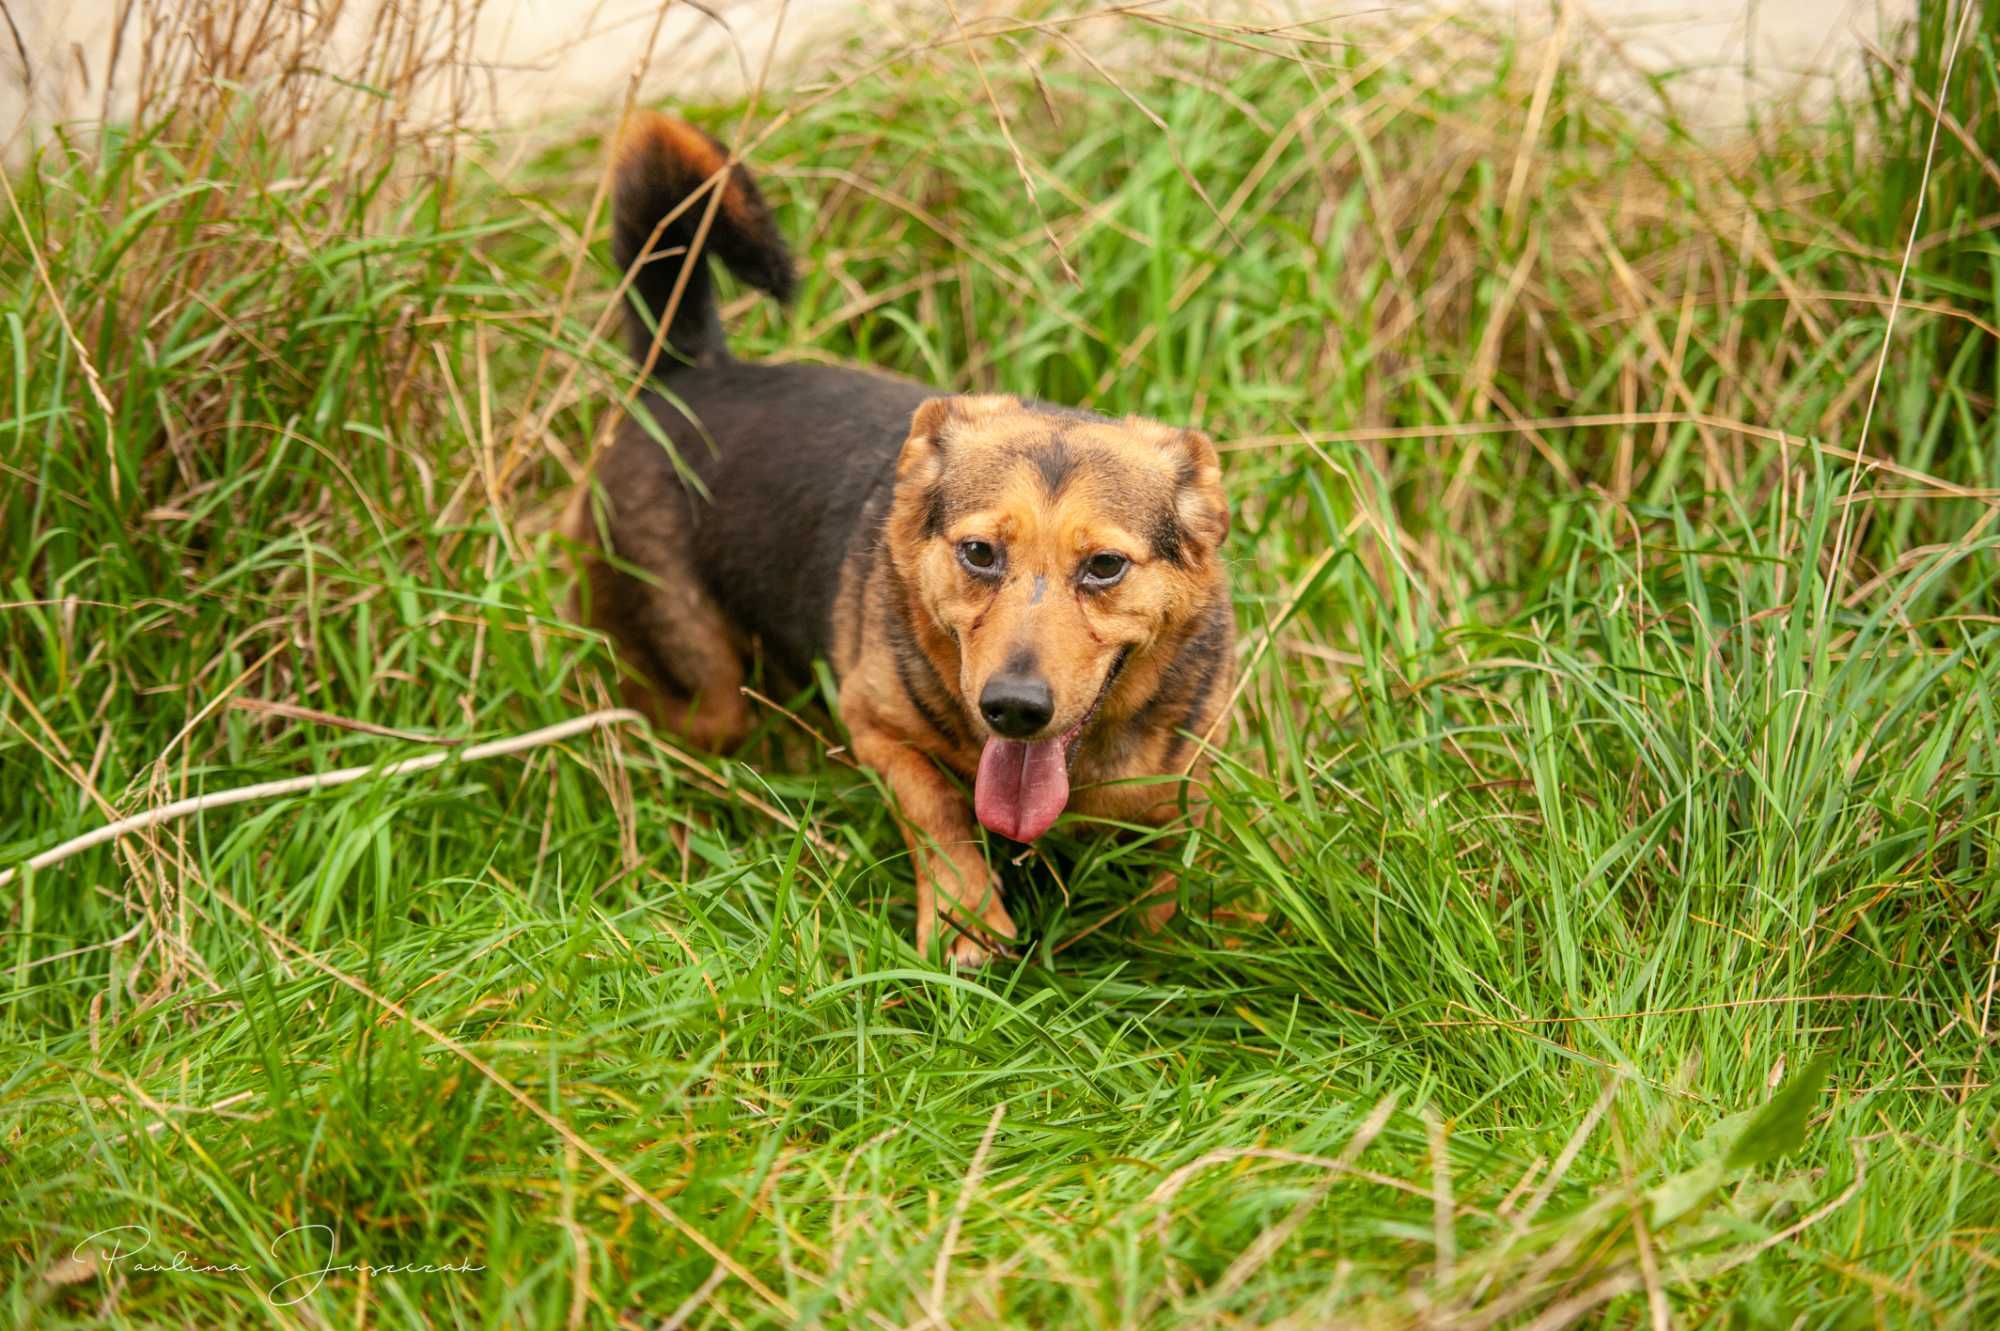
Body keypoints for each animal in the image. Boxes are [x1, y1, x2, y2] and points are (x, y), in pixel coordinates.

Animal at [560, 113, 1232, 959]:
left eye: (1106, 566)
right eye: (979, 553)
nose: (1013, 708)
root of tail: (685, 373)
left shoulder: (1186, 773)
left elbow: (1179, 869)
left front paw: (1178, 940)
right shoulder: (876, 725)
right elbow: (936, 810)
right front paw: (965, 922)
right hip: (697, 677)